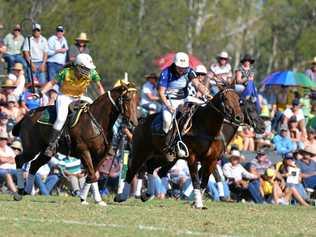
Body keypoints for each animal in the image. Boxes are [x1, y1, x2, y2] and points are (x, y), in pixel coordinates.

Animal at [115, 88, 243, 207]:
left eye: (239, 99)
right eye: (225, 98)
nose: (239, 118)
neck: (207, 129)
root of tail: (141, 120)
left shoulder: (211, 160)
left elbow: (205, 181)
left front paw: (196, 202)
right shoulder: (192, 158)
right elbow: (196, 180)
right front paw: (198, 204)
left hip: (165, 157)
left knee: (151, 167)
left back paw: (147, 194)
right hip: (140, 152)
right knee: (132, 171)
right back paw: (121, 196)